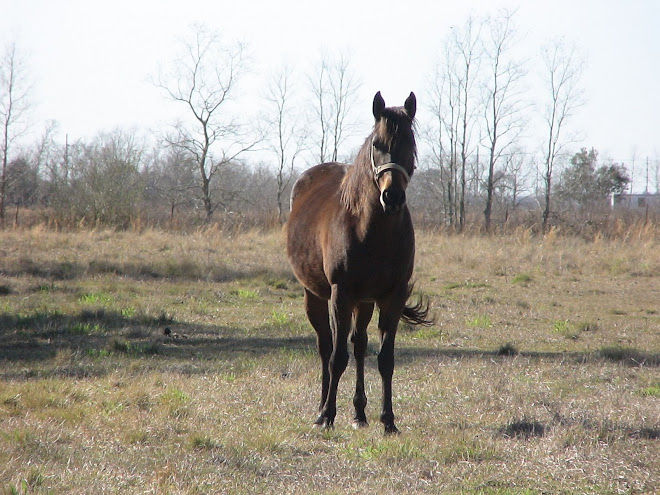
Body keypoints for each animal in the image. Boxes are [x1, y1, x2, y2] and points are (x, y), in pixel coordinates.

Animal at [284, 92, 430, 434]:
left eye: (410, 143)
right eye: (377, 143)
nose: (392, 197)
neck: (372, 230)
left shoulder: (392, 296)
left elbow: (385, 359)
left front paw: (388, 420)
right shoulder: (342, 293)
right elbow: (338, 357)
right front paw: (327, 415)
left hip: (363, 302)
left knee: (360, 345)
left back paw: (359, 413)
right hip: (318, 296)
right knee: (327, 346)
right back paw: (322, 408)